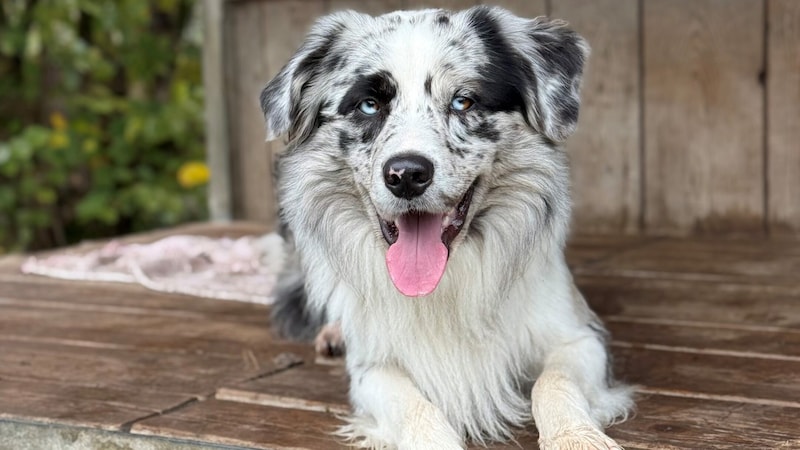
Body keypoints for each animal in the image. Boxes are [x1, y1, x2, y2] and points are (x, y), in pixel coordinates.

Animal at [260, 5, 636, 448]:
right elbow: (416, 408)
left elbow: (555, 382)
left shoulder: (579, 338)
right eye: (369, 105)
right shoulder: (372, 367)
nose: (406, 175)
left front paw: (576, 437)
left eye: (463, 100)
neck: (447, 282)